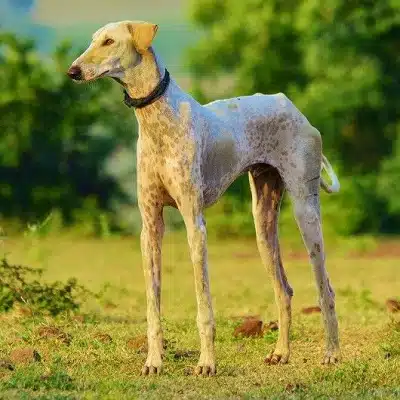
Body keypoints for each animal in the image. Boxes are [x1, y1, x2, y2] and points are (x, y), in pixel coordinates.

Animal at [68, 19, 340, 376]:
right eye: (93, 40)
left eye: (109, 41)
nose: (72, 71)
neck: (158, 118)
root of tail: (290, 105)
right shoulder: (150, 227)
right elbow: (153, 308)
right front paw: (153, 362)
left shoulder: (195, 224)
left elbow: (204, 306)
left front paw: (207, 363)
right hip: (263, 222)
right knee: (284, 290)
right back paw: (281, 353)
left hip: (306, 210)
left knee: (326, 290)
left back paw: (332, 353)